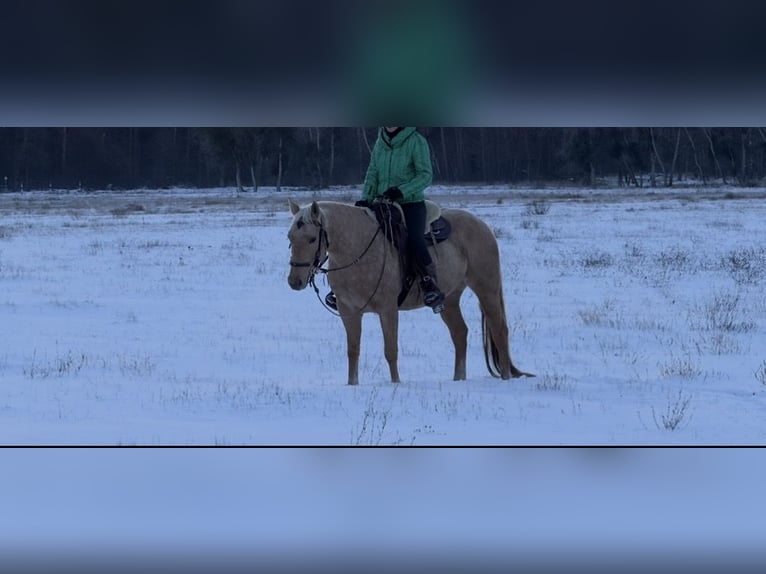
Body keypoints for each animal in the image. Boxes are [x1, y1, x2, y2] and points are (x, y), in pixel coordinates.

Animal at [287, 198, 533, 385]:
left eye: (311, 238)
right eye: (290, 238)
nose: (294, 281)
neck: (358, 248)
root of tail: (482, 226)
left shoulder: (388, 310)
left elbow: (390, 350)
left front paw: (396, 384)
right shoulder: (350, 312)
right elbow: (353, 350)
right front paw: (352, 384)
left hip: (486, 288)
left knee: (499, 329)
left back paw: (505, 377)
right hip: (449, 299)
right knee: (460, 333)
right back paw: (458, 379)